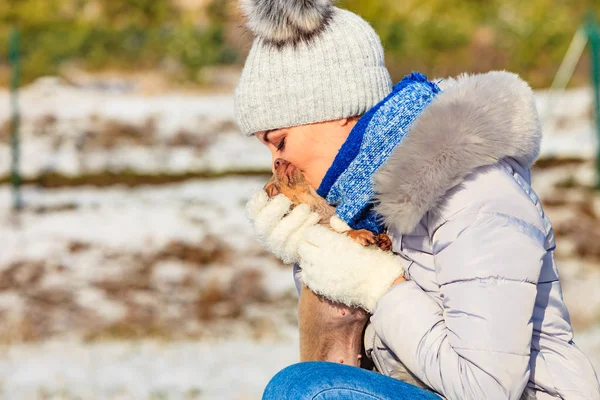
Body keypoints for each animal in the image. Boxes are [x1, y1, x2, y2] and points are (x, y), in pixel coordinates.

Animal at [264, 158, 392, 368]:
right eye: (272, 190)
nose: (277, 160)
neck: (320, 209)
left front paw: (384, 240)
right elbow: (345, 232)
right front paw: (359, 234)